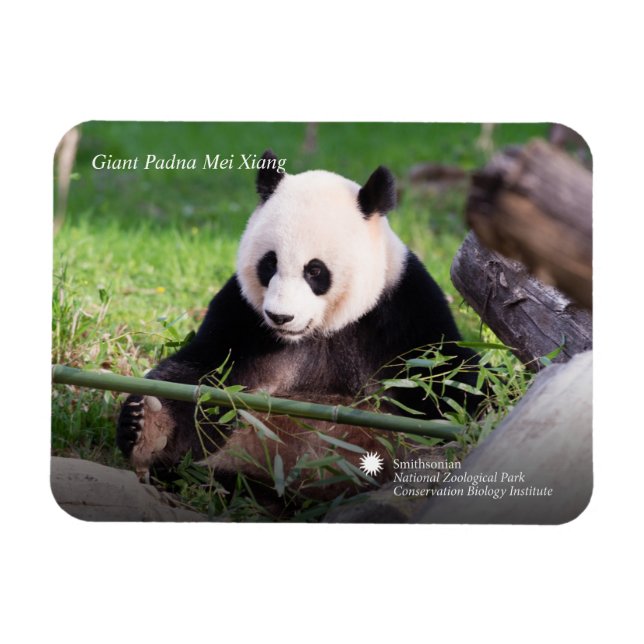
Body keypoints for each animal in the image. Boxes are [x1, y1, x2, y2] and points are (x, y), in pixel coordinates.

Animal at [117, 151, 480, 501]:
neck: (319, 330)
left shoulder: (401, 313)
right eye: (269, 263)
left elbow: (449, 381)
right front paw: (146, 426)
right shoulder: (241, 316)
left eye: (315, 271)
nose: (280, 317)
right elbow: (202, 376)